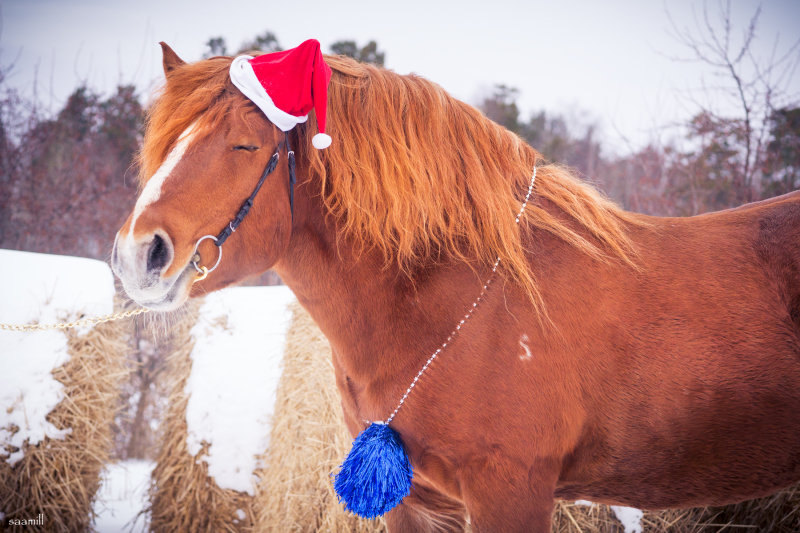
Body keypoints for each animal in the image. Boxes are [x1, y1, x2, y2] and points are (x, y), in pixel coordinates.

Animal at [111, 43, 800, 528]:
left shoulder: (510, 490)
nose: (138, 256)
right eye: (162, 141)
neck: (451, 303)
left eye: (246, 145)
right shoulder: (414, 501)